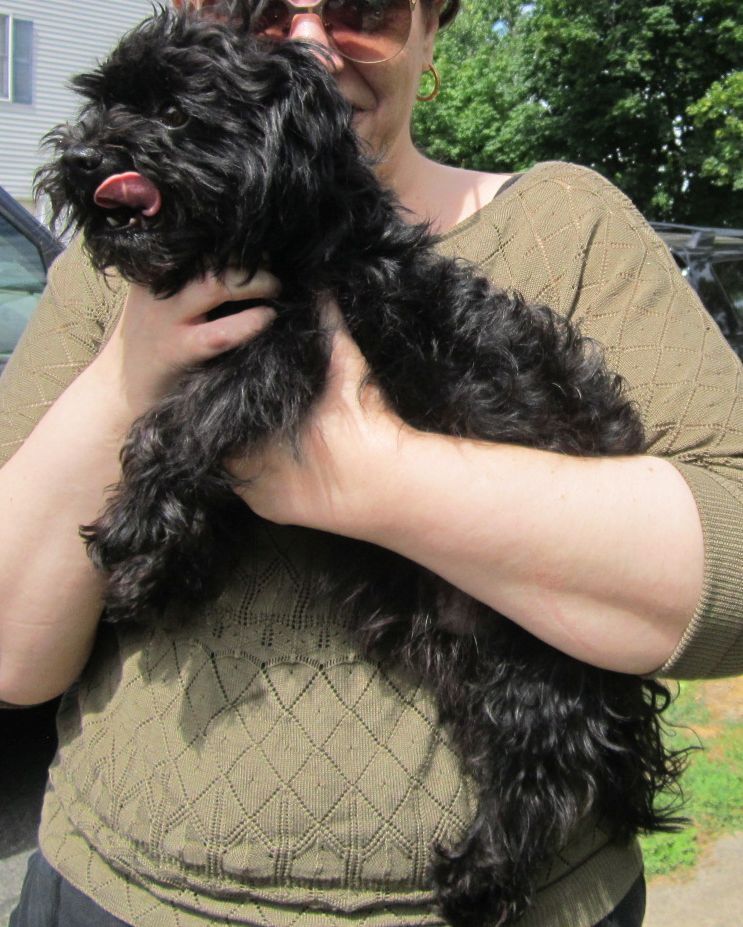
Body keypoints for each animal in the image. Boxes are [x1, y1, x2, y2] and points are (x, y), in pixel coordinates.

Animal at [35, 9, 684, 927]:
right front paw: (159, 574)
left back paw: (476, 878)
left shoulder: (289, 340)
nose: (88, 157)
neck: (301, 228)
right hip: (463, 654)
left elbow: (181, 421)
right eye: (99, 105)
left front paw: (133, 530)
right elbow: (206, 474)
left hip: (534, 660)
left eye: (174, 113)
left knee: (550, 769)